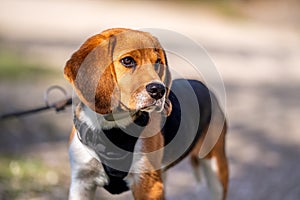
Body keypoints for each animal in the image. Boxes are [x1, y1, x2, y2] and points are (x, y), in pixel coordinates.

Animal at [63, 28, 227, 200]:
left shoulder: (148, 185)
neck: (111, 127)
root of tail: (203, 86)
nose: (159, 90)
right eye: (127, 61)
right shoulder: (81, 182)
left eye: (158, 62)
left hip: (216, 170)